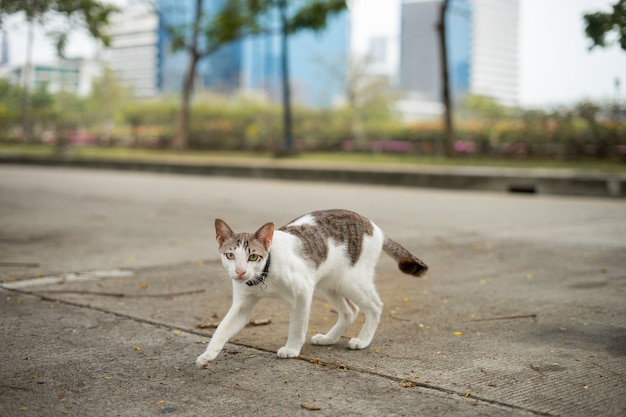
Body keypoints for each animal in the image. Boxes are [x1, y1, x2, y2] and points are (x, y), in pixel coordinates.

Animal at [197, 208, 426, 368]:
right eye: (230, 255)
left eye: (253, 256)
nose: (240, 272)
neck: (264, 275)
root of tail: (374, 226)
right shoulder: (242, 305)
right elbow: (221, 329)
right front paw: (207, 355)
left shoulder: (302, 292)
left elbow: (298, 325)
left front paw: (291, 348)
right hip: (330, 283)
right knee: (350, 310)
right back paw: (329, 338)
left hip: (351, 280)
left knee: (375, 306)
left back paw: (363, 340)